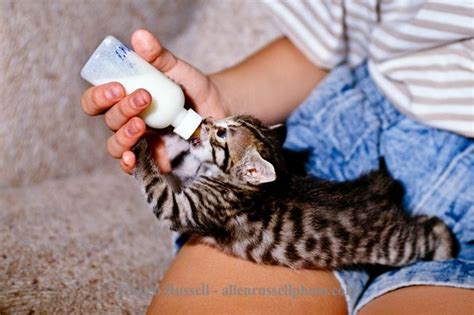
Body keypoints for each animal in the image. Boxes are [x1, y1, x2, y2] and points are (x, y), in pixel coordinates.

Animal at [132, 115, 456, 270]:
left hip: (395, 248)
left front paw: (139, 145)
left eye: (222, 133)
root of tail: (377, 188)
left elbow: (157, 189)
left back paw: (449, 249)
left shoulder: (187, 209)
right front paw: (168, 137)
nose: (207, 119)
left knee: (428, 232)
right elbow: (181, 163)